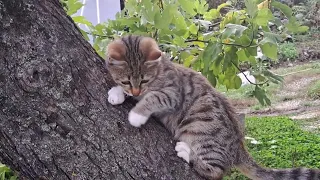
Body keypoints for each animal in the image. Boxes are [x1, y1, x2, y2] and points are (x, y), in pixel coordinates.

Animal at [105, 34, 320, 179]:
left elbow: (153, 98)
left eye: (144, 80)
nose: (135, 91)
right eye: (126, 81)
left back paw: (187, 153)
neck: (161, 69)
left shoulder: (172, 94)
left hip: (199, 128)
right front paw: (117, 93)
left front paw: (136, 114)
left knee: (217, 171)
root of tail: (238, 147)